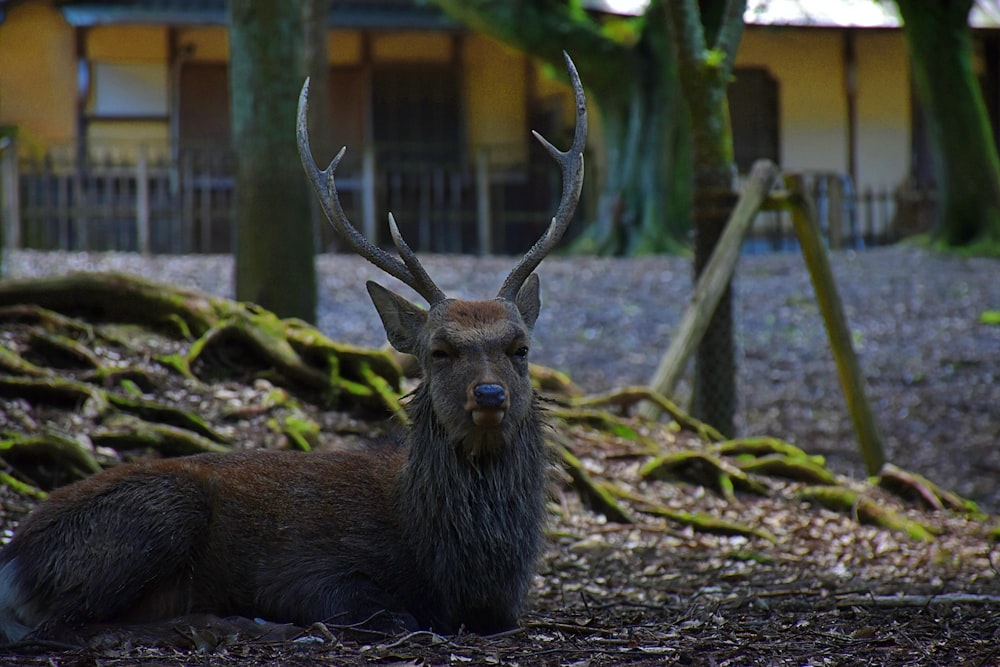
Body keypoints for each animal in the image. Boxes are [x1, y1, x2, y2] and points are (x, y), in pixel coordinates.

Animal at [0, 53, 584, 648]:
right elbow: (385, 612)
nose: (489, 395)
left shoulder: (507, 607)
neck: (451, 567)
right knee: (66, 624)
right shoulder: (311, 570)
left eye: (520, 347)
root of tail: (13, 561)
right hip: (159, 513)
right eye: (439, 351)